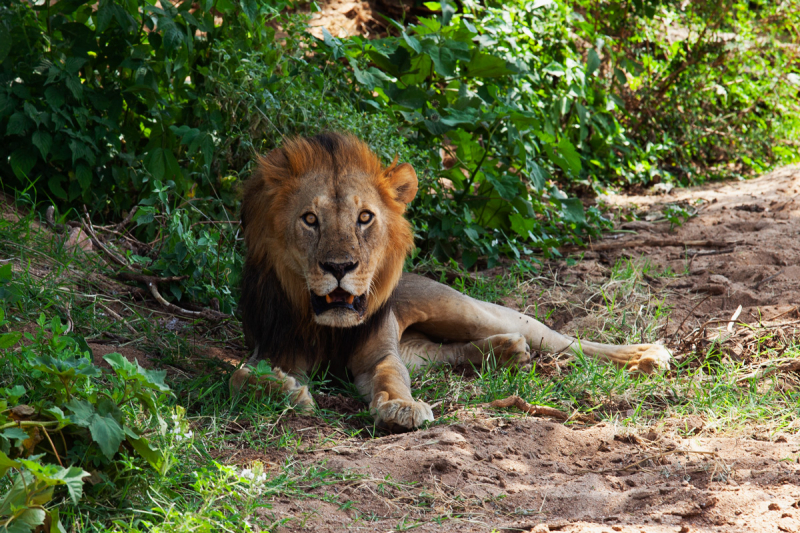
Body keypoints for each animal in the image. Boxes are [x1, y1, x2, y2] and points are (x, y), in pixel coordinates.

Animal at [231, 131, 668, 430]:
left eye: (364, 217)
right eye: (310, 219)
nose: (340, 266)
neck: (328, 328)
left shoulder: (381, 353)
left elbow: (391, 377)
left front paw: (401, 408)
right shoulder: (272, 347)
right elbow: (241, 376)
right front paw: (287, 390)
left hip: (467, 310)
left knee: (565, 341)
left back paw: (646, 356)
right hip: (422, 347)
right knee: (449, 351)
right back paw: (506, 352)